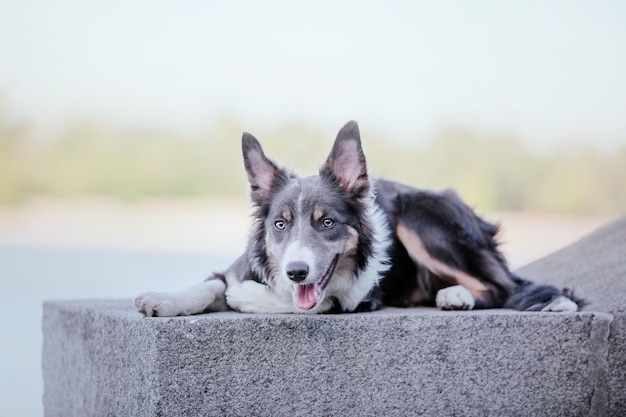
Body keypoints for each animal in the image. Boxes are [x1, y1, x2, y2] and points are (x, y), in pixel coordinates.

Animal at [136, 120, 580, 316]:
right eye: (280, 224)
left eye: (327, 222)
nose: (296, 272)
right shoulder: (237, 267)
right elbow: (210, 285)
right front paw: (164, 299)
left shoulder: (353, 299)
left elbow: (307, 302)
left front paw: (246, 298)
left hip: (421, 216)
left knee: (502, 286)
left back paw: (457, 295)